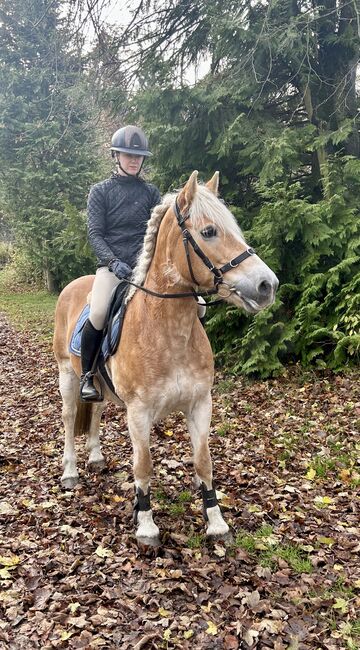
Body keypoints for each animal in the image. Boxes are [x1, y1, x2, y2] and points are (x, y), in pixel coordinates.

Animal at [52, 170, 278, 544]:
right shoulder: (139, 413)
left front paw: (216, 522)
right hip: (67, 376)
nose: (267, 285)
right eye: (209, 231)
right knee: (70, 418)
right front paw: (146, 525)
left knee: (96, 409)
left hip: (97, 382)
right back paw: (70, 472)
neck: (165, 330)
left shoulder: (200, 404)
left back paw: (96, 456)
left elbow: (204, 462)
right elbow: (143, 466)